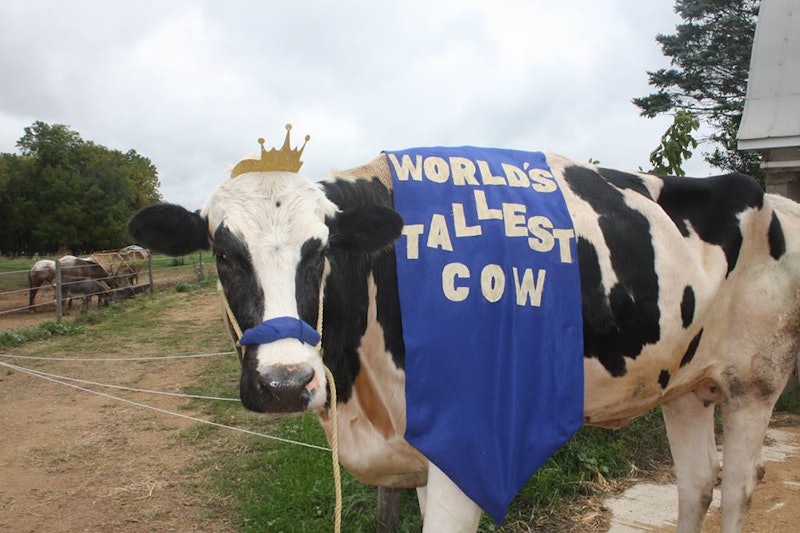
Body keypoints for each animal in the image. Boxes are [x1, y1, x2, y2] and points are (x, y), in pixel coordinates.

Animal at [128, 149, 800, 533]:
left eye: (319, 251)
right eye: (223, 254)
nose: (286, 382)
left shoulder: (468, 447)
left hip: (756, 380)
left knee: (739, 487)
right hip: (685, 384)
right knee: (697, 484)